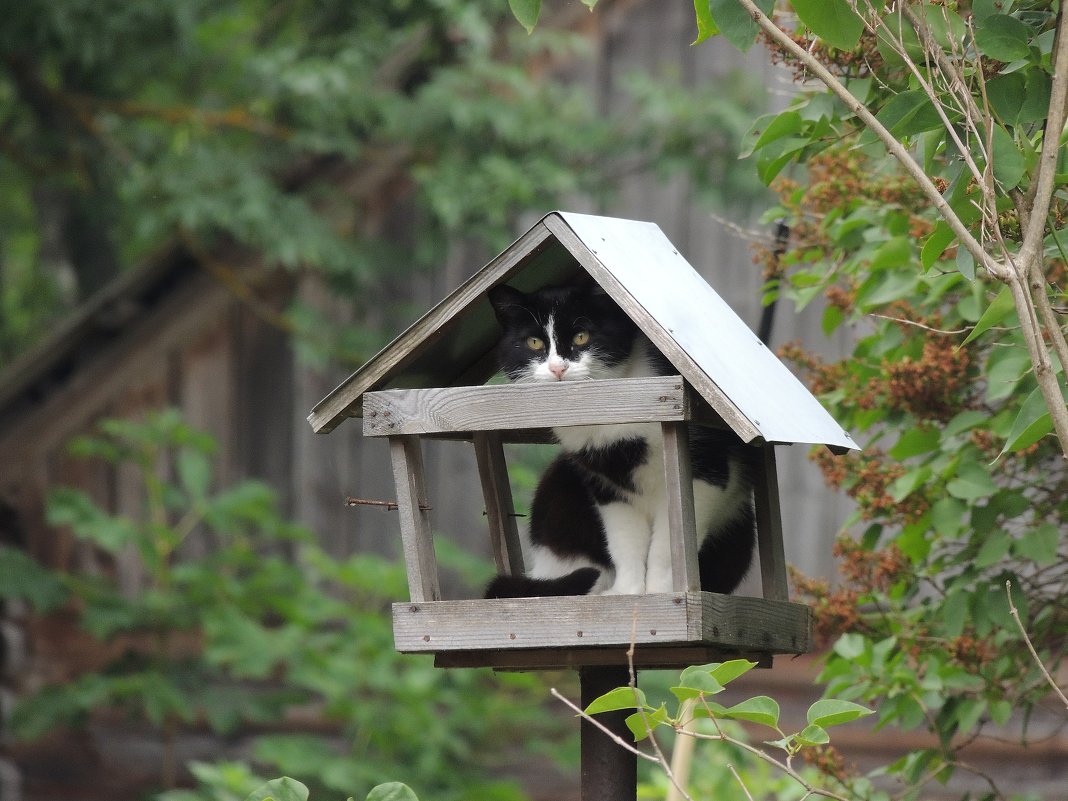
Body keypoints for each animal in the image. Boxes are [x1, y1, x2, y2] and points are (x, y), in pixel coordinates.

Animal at [484, 279, 760, 598]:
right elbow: (624, 542)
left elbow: (669, 545)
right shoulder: (606, 483)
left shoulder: (705, 471)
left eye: (581, 336)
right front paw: (628, 593)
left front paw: (661, 593)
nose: (557, 369)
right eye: (534, 343)